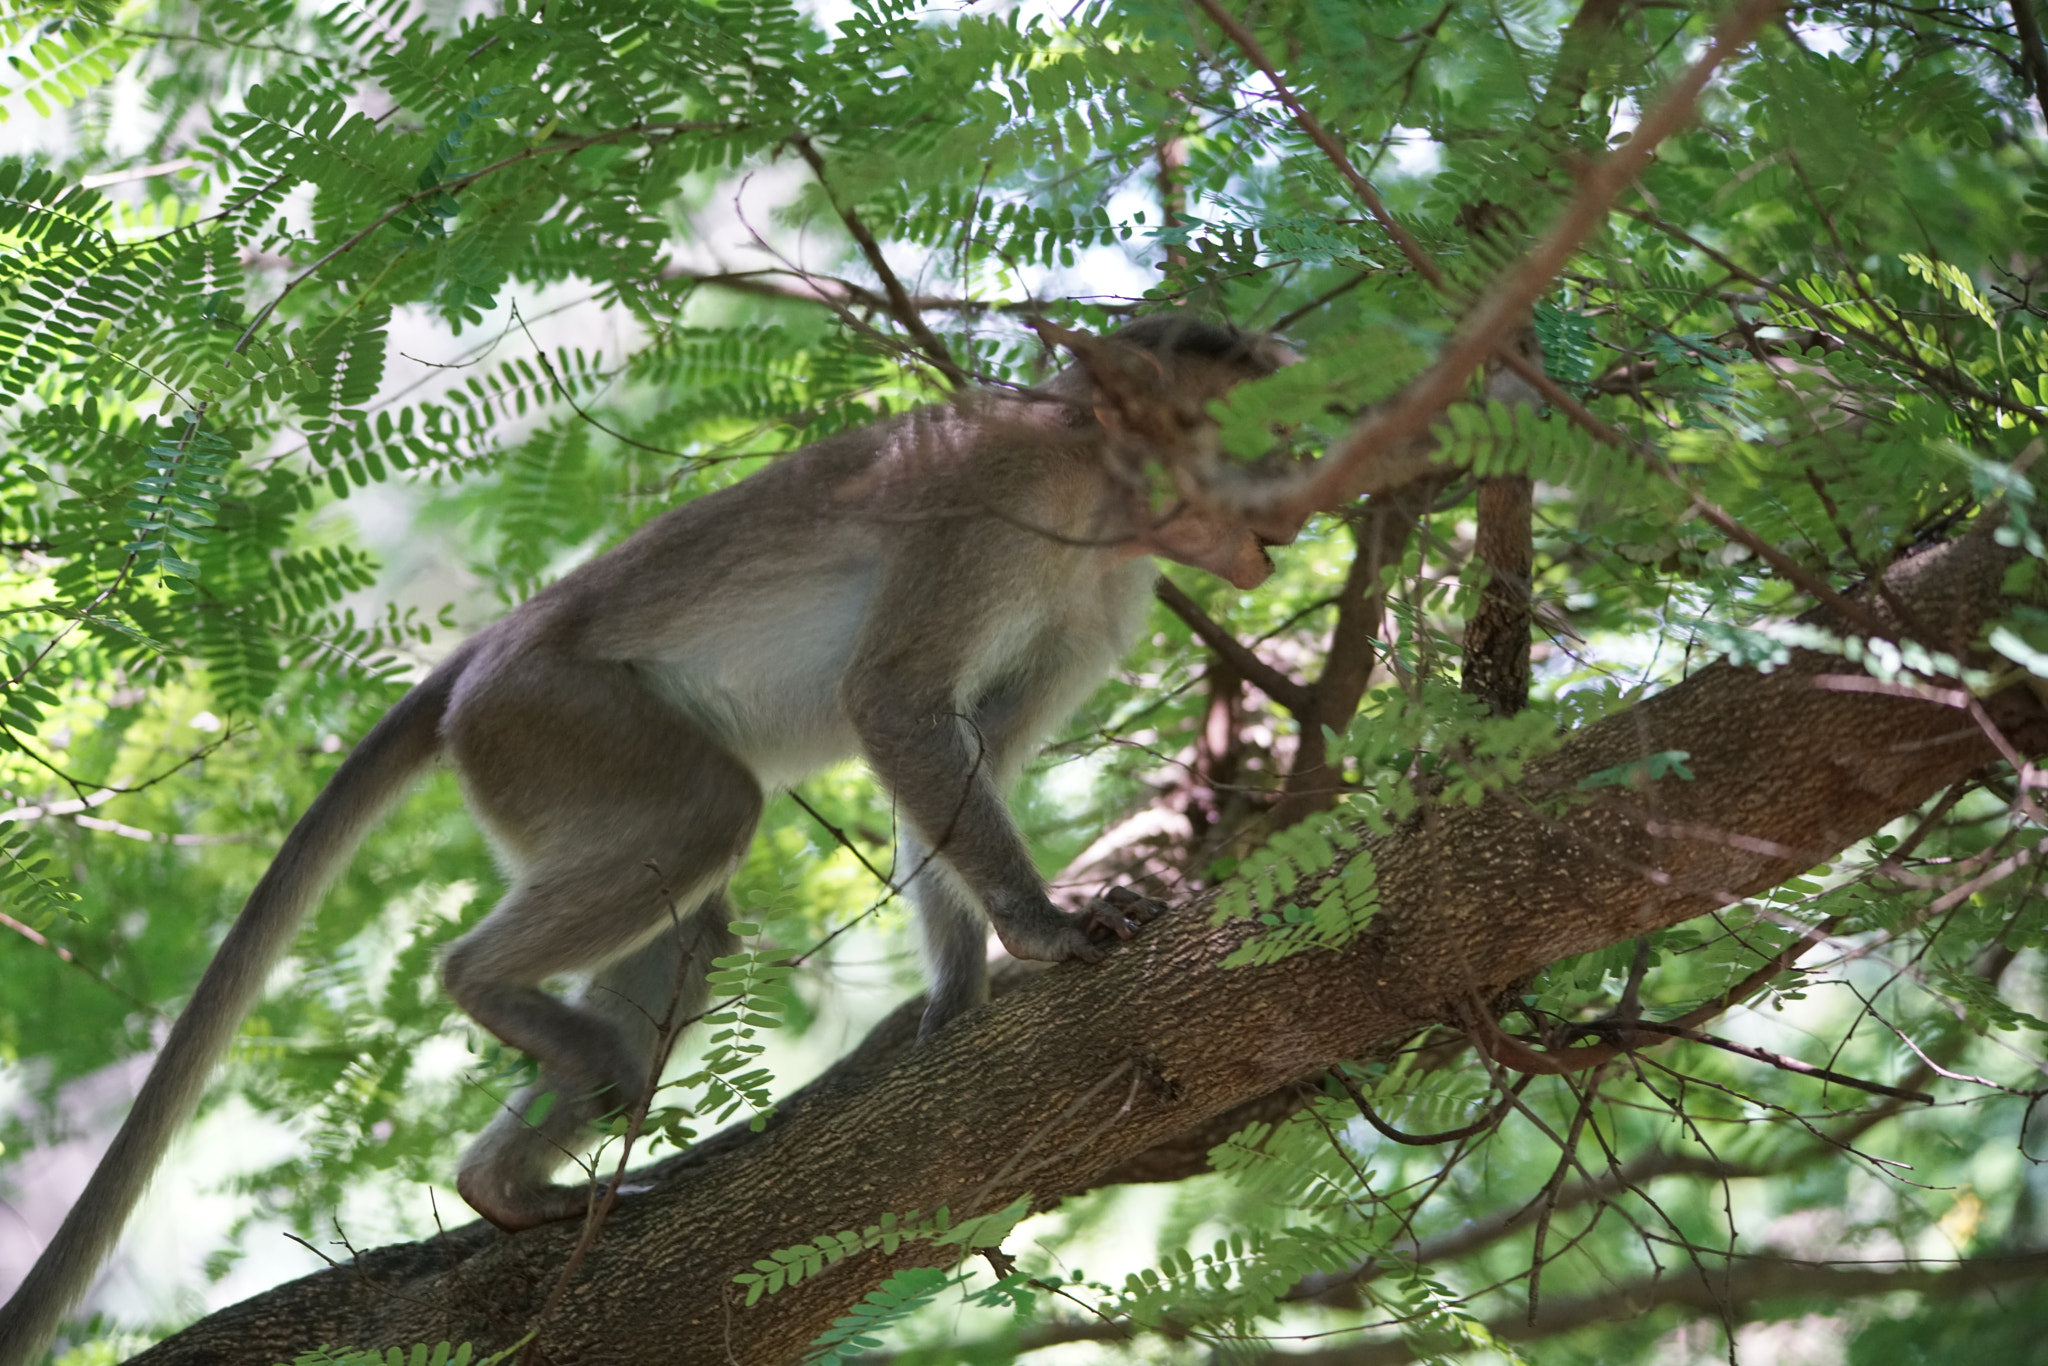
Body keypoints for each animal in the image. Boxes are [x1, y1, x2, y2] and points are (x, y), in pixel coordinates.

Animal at [0, 315, 1294, 1359]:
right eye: (1269, 422)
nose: (1290, 503)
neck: (1100, 485)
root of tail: (480, 657)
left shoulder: (1104, 592)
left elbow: (966, 745)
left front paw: (955, 1004)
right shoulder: (1001, 495)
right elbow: (895, 705)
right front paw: (1047, 930)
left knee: (694, 909)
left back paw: (504, 1183)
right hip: (549, 720)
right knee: (710, 813)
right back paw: (484, 992)